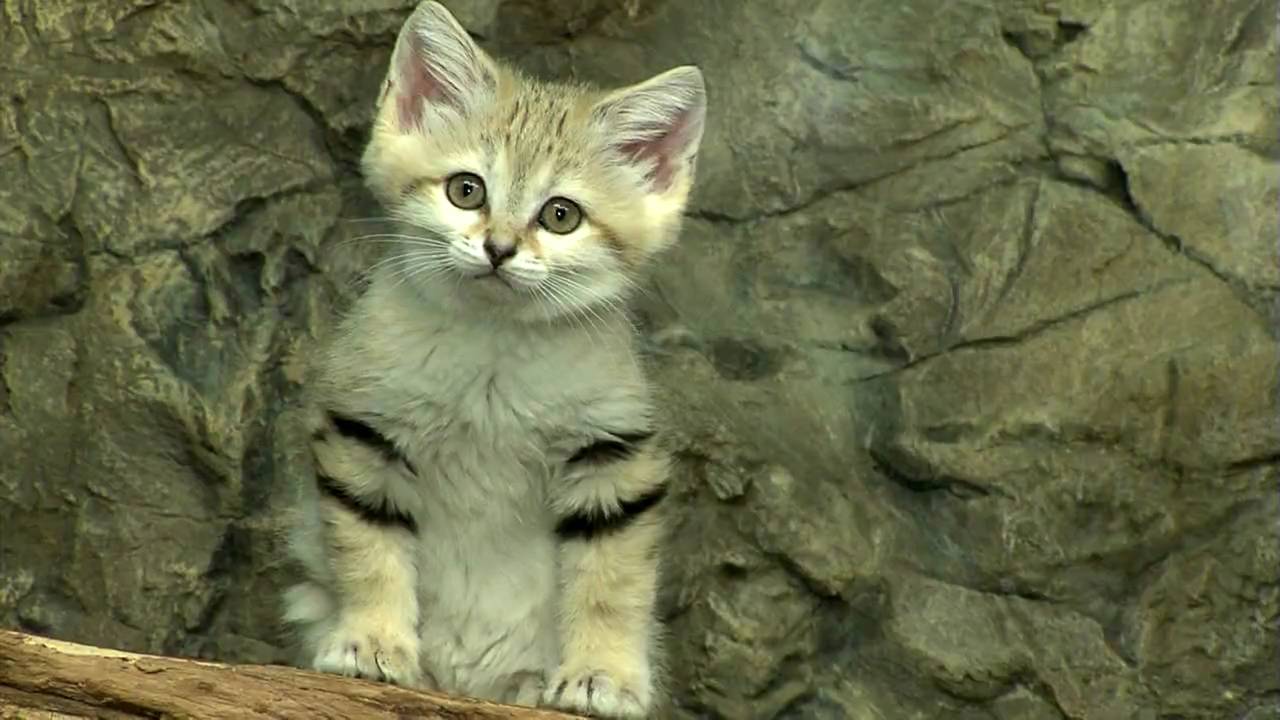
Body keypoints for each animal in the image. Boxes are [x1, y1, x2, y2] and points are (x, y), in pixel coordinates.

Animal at [280, 2, 711, 712]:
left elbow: (612, 586)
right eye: (466, 190)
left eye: (561, 215)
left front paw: (602, 675)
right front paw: (373, 642)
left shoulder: (615, 457)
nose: (500, 249)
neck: (493, 355)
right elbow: (370, 555)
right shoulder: (365, 430)